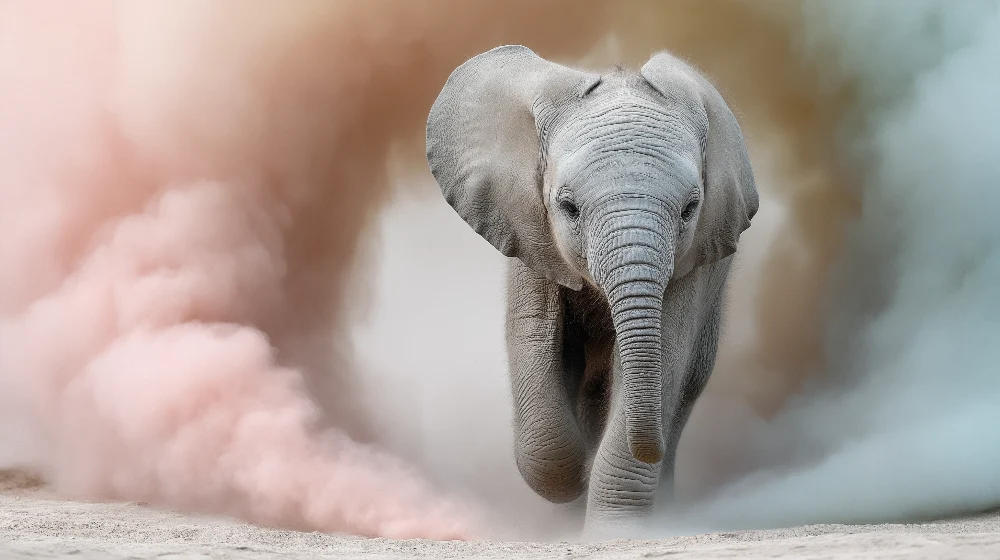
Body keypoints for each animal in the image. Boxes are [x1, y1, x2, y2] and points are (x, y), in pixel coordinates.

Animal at [425, 45, 758, 531]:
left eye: (689, 209)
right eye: (568, 208)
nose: (652, 449)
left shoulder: (696, 260)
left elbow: (665, 355)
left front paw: (618, 532)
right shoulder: (529, 231)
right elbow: (536, 340)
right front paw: (575, 479)